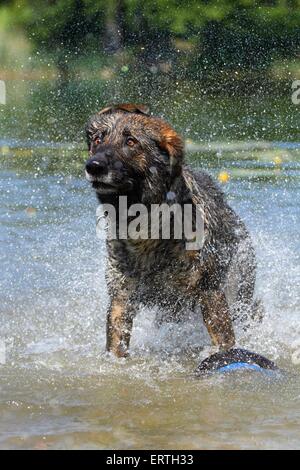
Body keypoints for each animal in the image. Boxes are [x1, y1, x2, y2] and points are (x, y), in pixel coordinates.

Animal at [84, 103, 262, 358]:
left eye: (131, 141)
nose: (93, 166)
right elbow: (116, 346)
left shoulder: (210, 292)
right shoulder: (121, 298)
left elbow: (224, 342)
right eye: (98, 139)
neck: (145, 230)